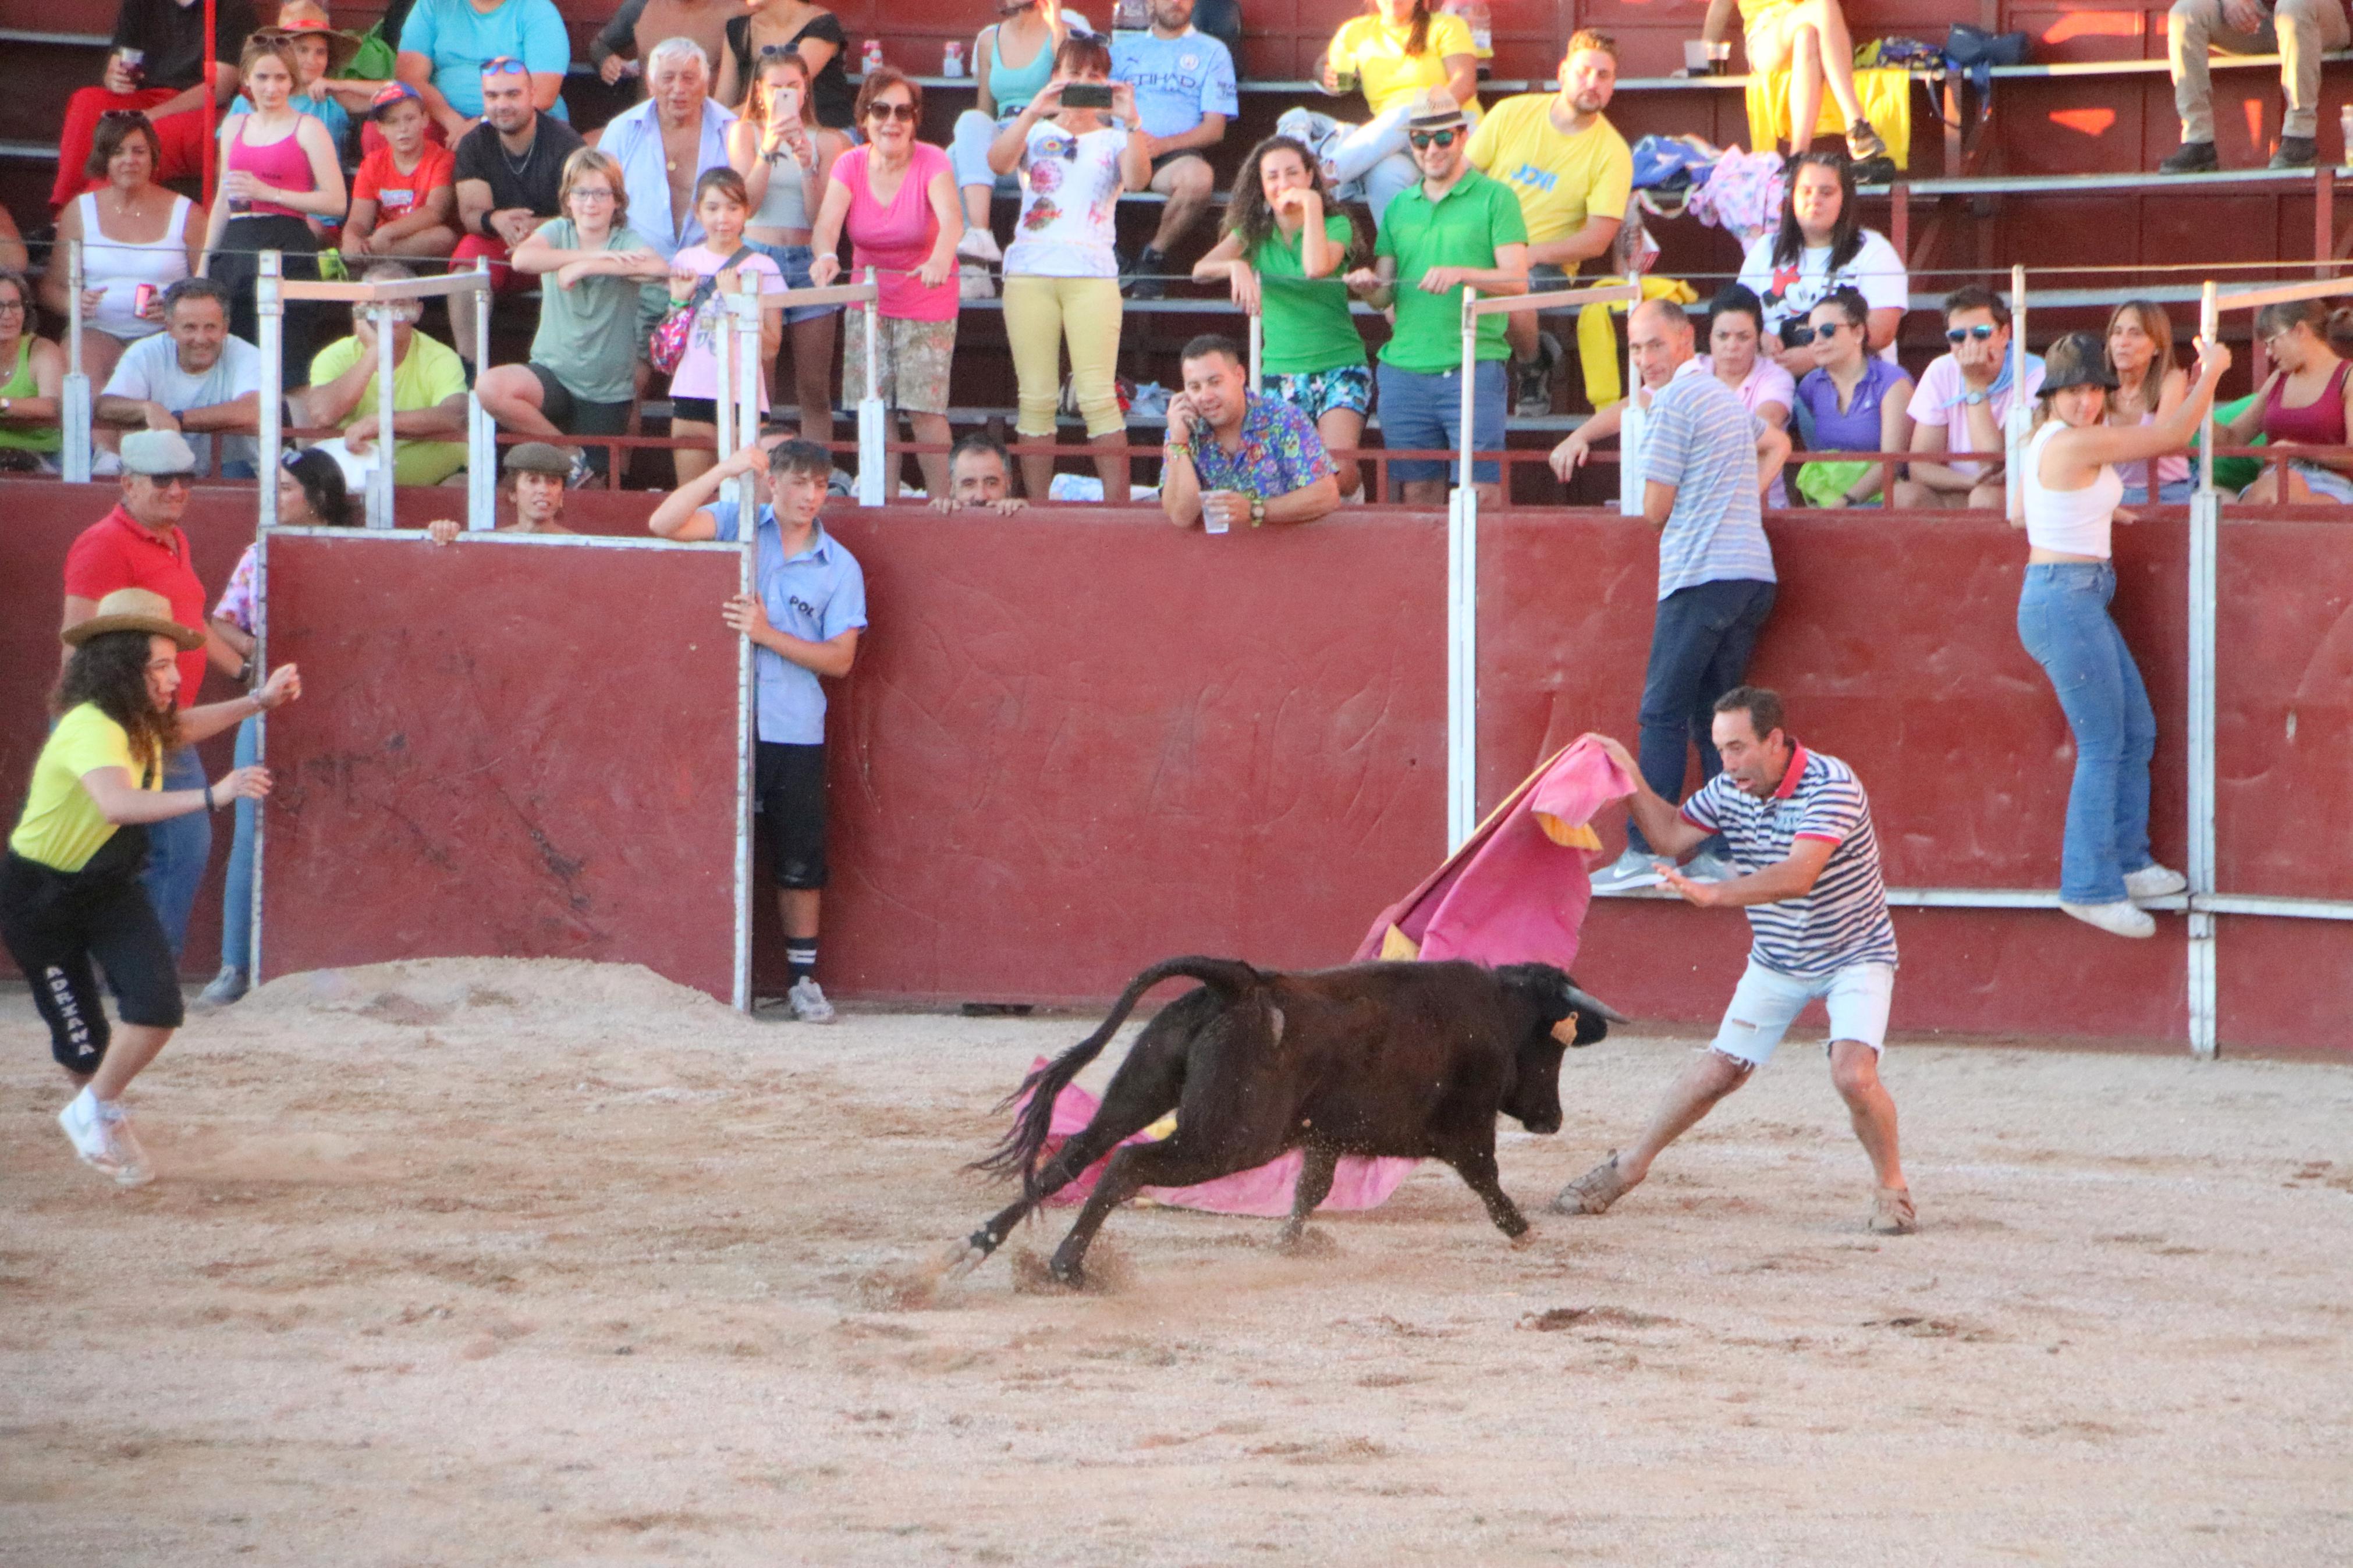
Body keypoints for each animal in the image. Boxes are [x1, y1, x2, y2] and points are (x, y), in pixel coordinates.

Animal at [946, 959, 1628, 1288]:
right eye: (1554, 1049)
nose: (1552, 1120)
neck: (1496, 1010)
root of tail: (1240, 985)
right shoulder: (1466, 1128)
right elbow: (1488, 1179)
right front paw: (1524, 1231)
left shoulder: (1324, 1136)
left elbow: (1310, 1190)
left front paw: (1290, 1243)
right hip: (1228, 1140)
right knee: (1127, 1163)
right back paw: (1067, 1267)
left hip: (1139, 1092)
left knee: (1074, 1156)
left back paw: (973, 1248)